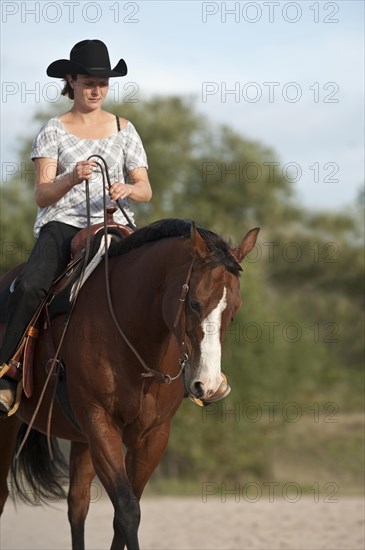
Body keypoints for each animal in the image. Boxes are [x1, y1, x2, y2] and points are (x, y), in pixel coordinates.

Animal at [0, 218, 258, 548]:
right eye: (195, 304)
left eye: (234, 310)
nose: (209, 385)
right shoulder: (100, 423)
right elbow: (127, 511)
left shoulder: (152, 436)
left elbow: (122, 516)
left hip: (81, 440)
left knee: (77, 504)